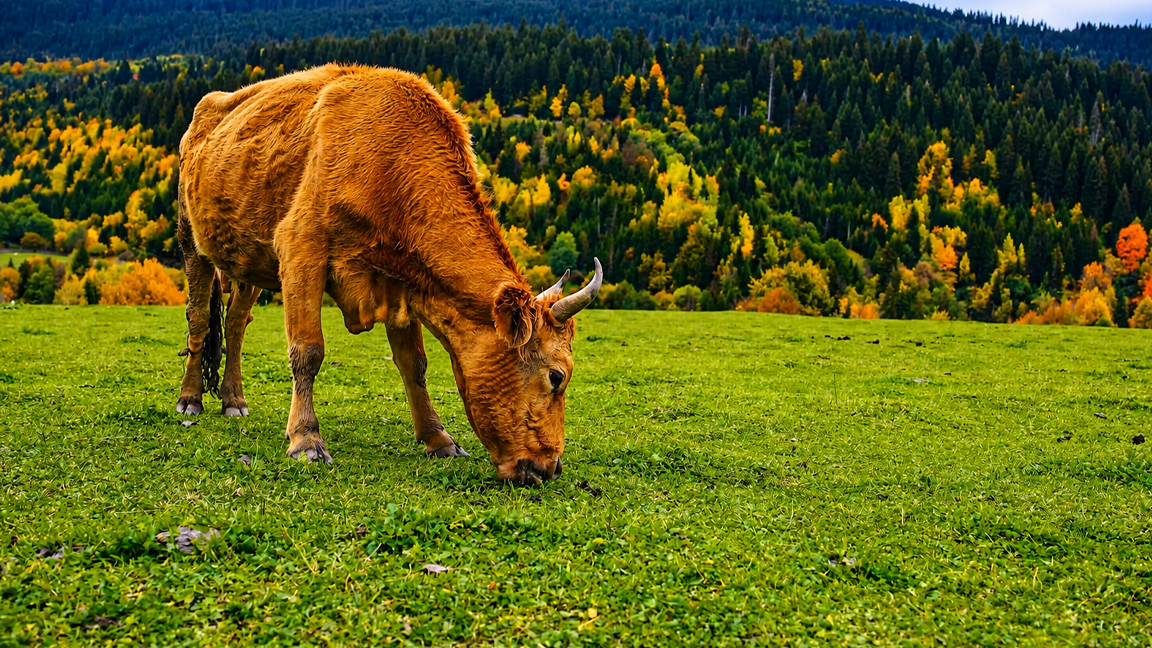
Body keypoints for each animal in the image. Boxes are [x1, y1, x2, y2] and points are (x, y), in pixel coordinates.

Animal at [175, 64, 602, 485]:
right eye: (557, 376)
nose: (551, 467)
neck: (389, 159)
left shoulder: (400, 283)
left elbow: (415, 363)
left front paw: (437, 438)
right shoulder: (300, 248)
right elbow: (308, 352)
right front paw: (306, 440)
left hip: (247, 259)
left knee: (235, 324)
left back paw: (233, 400)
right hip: (190, 241)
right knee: (199, 320)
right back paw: (190, 399)